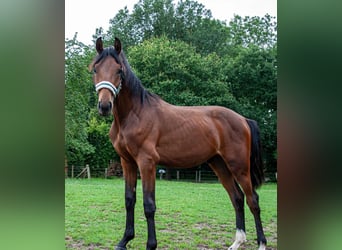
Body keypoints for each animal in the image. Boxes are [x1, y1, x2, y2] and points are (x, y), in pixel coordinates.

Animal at [89, 37, 268, 250]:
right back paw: (237, 242)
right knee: (237, 199)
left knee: (253, 200)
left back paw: (261, 243)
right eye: (95, 69)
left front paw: (151, 245)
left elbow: (149, 204)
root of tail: (243, 119)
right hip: (219, 164)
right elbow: (129, 200)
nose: (104, 106)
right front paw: (124, 240)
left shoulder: (147, 163)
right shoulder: (127, 162)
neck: (135, 114)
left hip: (239, 167)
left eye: (119, 70)